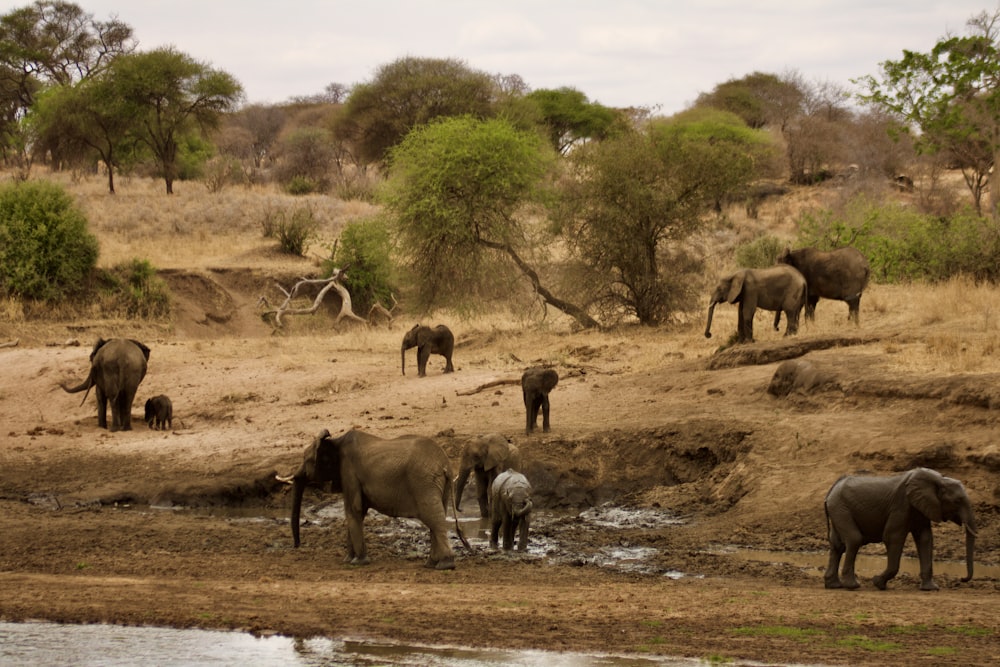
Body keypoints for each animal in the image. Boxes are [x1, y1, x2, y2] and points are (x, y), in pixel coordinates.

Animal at [276, 428, 470, 568]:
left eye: (306, 459)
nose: (297, 546)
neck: (335, 441)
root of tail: (446, 464)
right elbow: (357, 512)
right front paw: (348, 560)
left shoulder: (349, 472)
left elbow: (353, 509)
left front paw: (358, 562)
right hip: (436, 484)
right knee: (436, 516)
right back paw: (431, 564)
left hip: (423, 482)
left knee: (434, 519)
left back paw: (445, 565)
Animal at [828, 468, 976, 592]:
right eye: (957, 501)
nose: (962, 579)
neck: (940, 480)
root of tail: (833, 487)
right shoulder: (901, 505)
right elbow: (893, 537)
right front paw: (878, 583)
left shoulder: (921, 507)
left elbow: (925, 539)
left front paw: (930, 589)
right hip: (841, 508)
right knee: (854, 539)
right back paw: (852, 586)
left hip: (838, 510)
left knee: (838, 545)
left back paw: (833, 585)